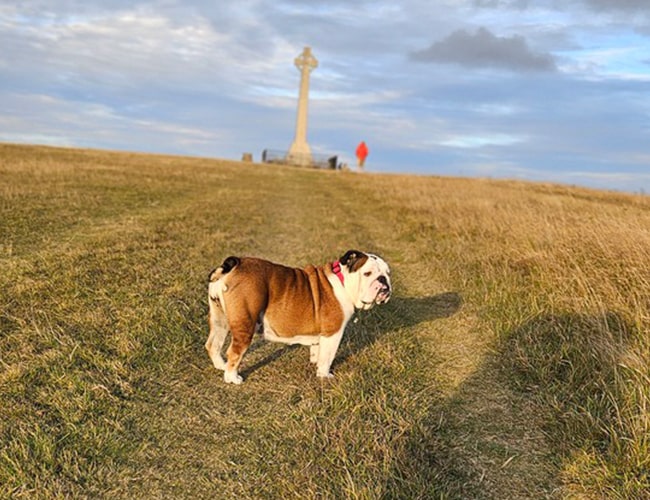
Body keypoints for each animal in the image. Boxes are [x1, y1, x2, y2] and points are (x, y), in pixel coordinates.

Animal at [206, 250, 391, 384]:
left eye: (388, 273)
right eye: (367, 273)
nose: (384, 280)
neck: (343, 282)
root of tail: (235, 264)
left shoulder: (320, 335)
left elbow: (318, 351)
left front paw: (315, 363)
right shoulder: (333, 334)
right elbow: (327, 357)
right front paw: (324, 375)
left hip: (219, 319)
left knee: (213, 344)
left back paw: (221, 365)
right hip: (244, 324)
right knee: (234, 351)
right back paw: (232, 378)